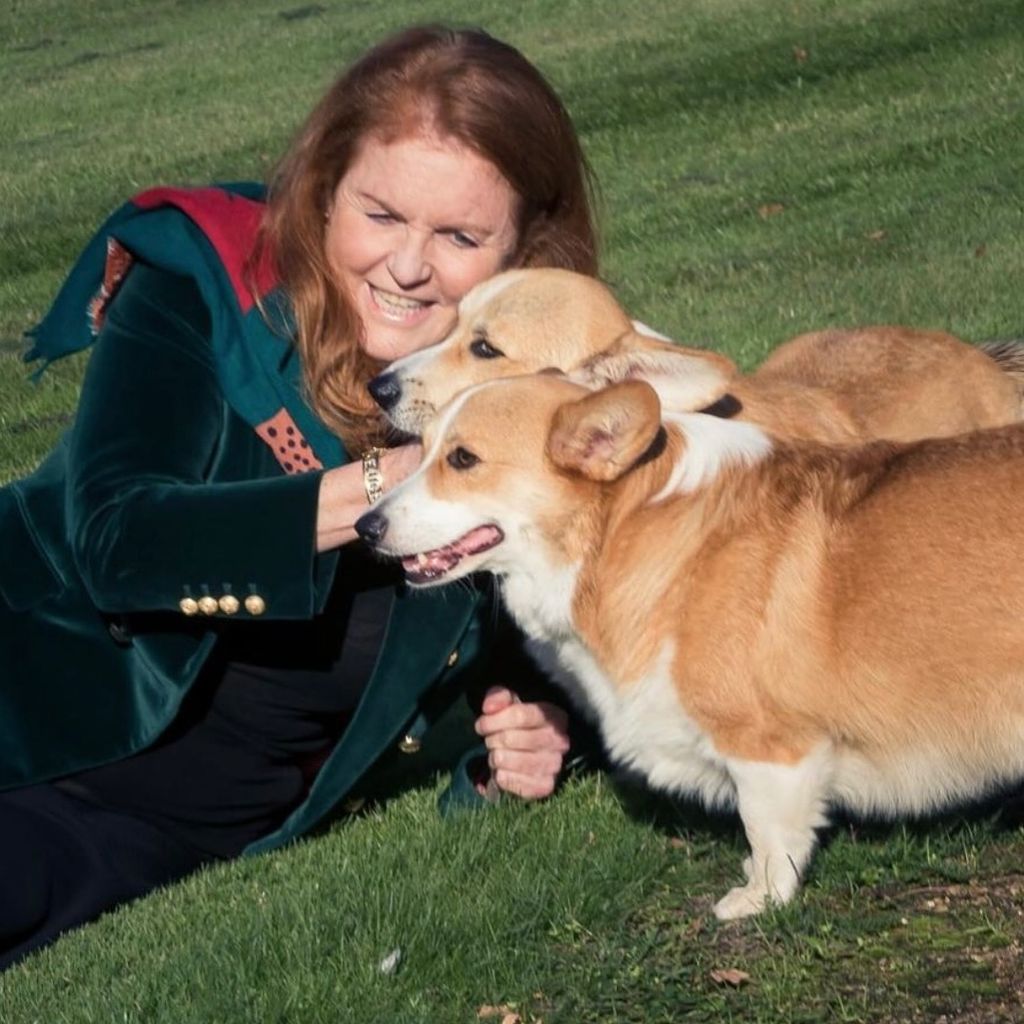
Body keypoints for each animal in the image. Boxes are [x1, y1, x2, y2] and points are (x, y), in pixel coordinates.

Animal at [356, 374, 1024, 921]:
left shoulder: (765, 746)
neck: (619, 531)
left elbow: (767, 828)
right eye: (423, 452)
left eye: (463, 459)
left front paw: (758, 899)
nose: (365, 528)